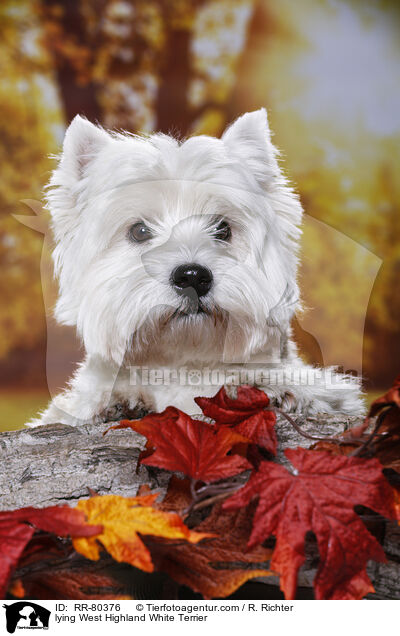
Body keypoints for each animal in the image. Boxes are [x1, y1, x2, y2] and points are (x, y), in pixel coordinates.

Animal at [28, 109, 366, 428]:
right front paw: (117, 400)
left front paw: (271, 389)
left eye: (223, 228)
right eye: (139, 231)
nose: (192, 276)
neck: (184, 362)